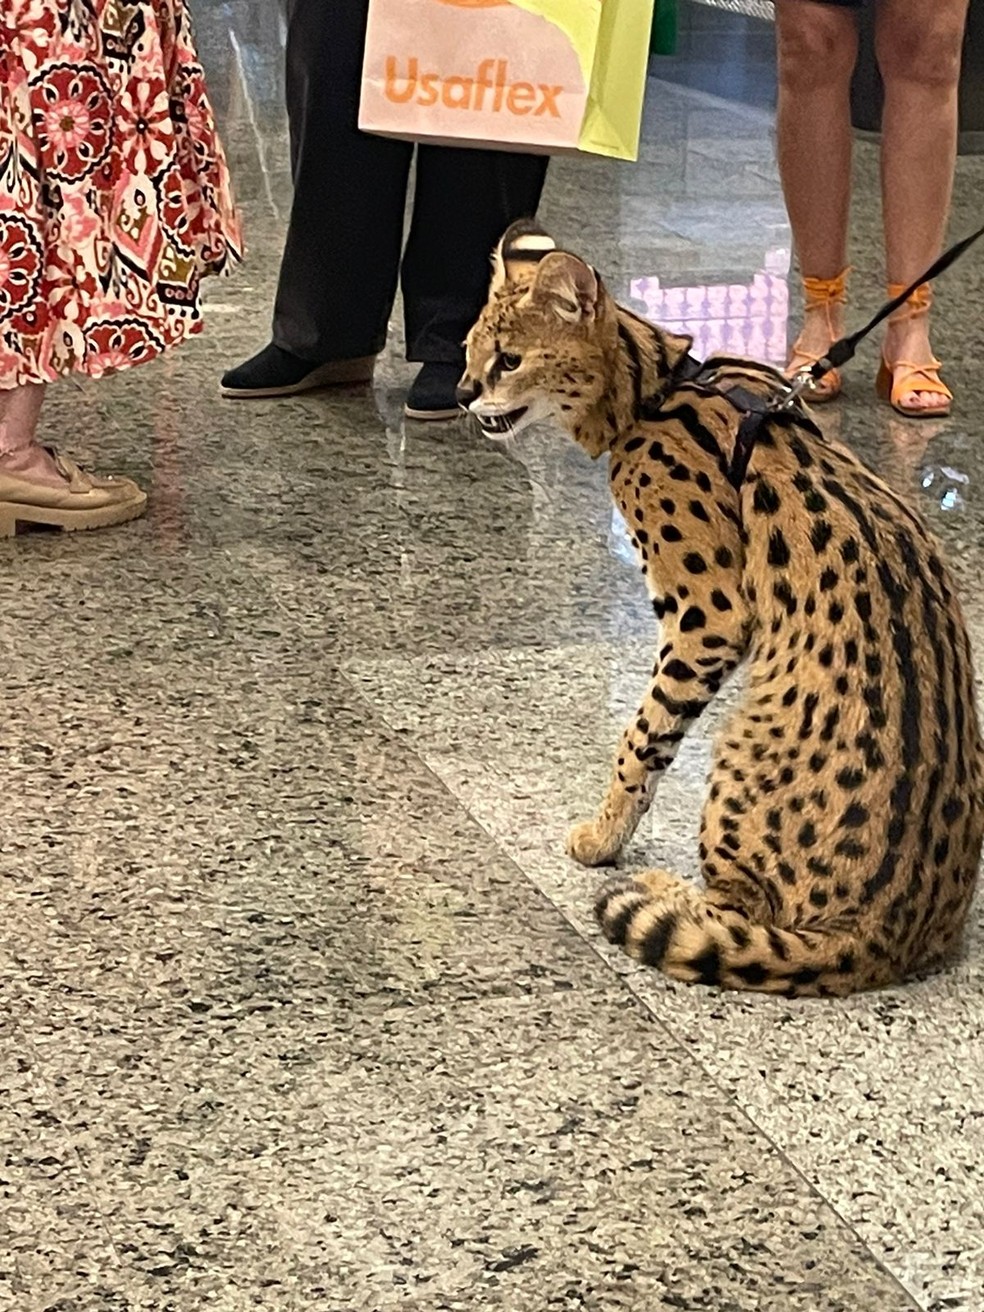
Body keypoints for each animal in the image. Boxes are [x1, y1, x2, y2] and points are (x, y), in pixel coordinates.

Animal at [459, 223, 981, 991]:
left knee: (745, 914)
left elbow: (643, 737)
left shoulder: (707, 615)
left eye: (509, 360)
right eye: (470, 347)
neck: (657, 387)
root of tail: (885, 937)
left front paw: (605, 835)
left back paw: (663, 892)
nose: (463, 393)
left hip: (739, 749)